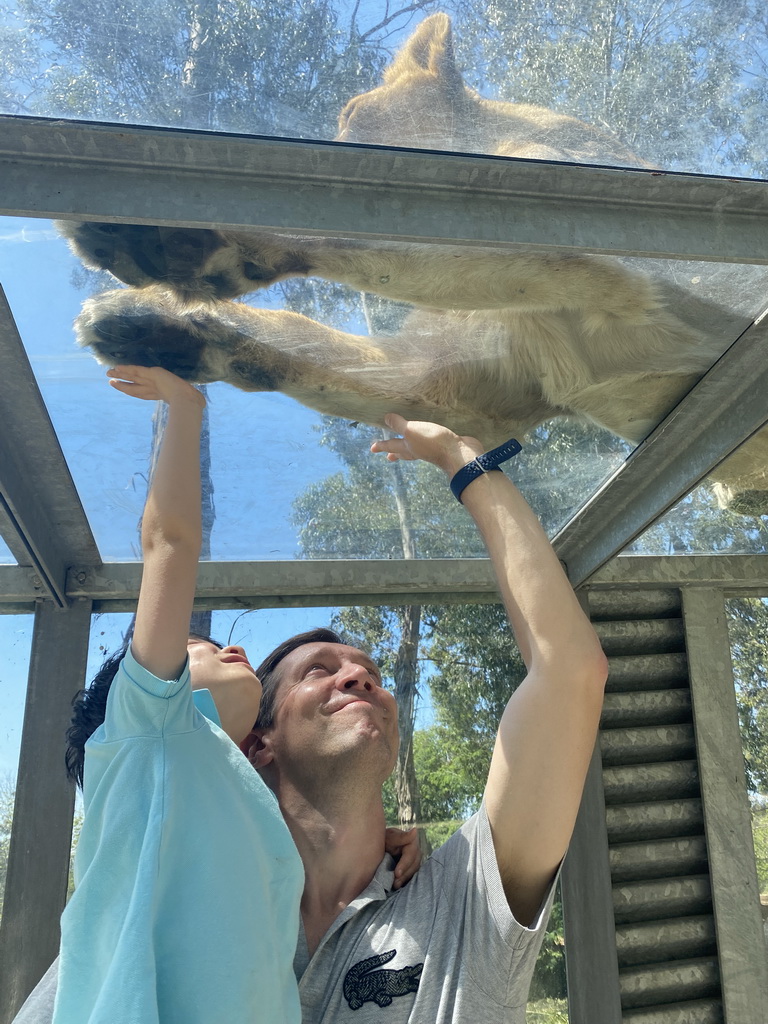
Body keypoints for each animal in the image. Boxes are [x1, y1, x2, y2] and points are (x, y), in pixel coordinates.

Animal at [58, 12, 768, 516]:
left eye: (350, 114)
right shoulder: (457, 385)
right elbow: (297, 345)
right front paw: (142, 326)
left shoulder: (616, 252)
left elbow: (343, 218)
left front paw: (155, 233)